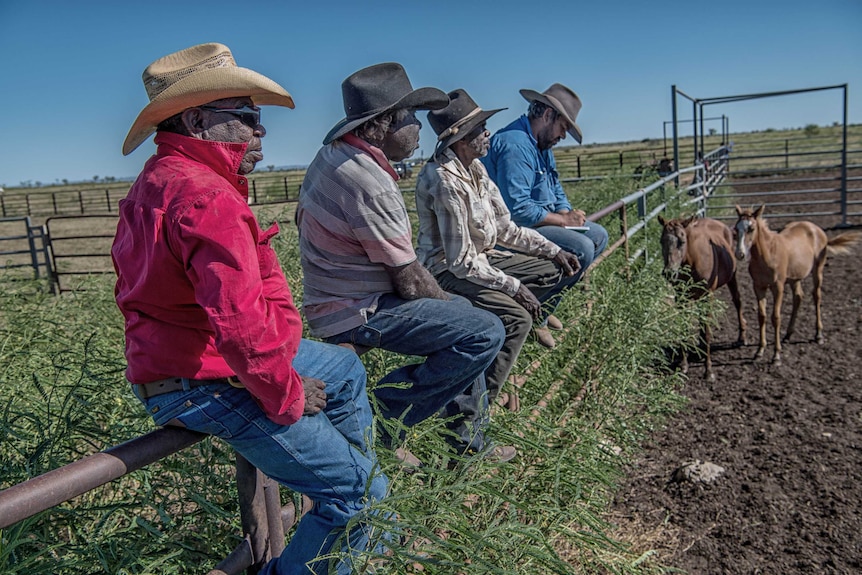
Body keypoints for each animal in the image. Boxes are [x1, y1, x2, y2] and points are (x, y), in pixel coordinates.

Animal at [660, 214, 748, 380]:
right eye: (661, 241)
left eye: (682, 242)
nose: (669, 273)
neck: (693, 260)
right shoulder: (681, 298)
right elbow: (685, 328)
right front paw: (684, 365)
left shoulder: (708, 296)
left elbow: (707, 332)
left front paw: (708, 370)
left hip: (732, 278)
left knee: (738, 301)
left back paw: (741, 337)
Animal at [736, 205, 862, 364]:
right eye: (736, 229)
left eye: (751, 228)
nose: (740, 254)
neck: (768, 254)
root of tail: (816, 229)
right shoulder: (759, 287)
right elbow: (762, 316)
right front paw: (759, 351)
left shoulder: (778, 287)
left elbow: (775, 317)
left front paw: (776, 355)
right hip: (794, 279)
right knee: (798, 298)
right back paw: (788, 335)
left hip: (818, 270)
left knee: (816, 296)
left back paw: (818, 335)